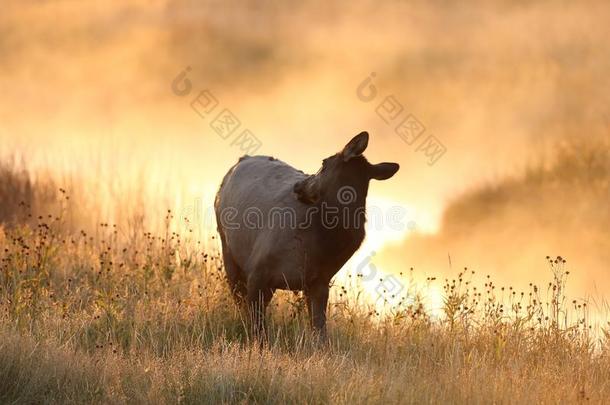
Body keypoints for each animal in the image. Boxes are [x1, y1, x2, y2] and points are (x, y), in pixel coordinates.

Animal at [214, 131, 400, 336]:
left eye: (324, 162)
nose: (298, 185)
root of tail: (240, 160)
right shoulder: (257, 270)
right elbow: (257, 329)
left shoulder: (319, 281)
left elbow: (320, 333)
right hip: (227, 248)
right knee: (238, 297)